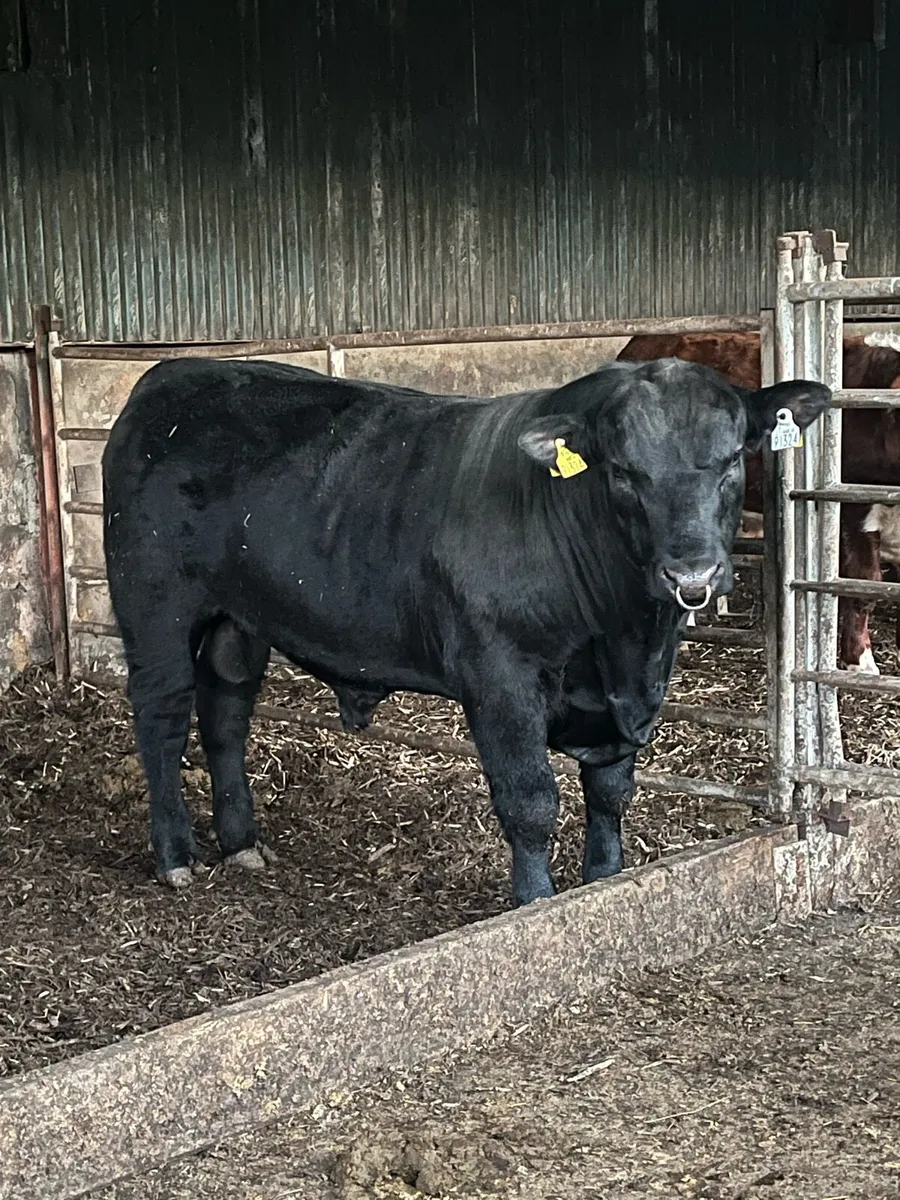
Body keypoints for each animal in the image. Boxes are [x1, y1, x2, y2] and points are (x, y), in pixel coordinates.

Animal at [102, 357, 828, 904]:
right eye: (623, 471)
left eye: (732, 460)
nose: (693, 570)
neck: (620, 638)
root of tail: (172, 374)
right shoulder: (499, 676)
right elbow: (531, 801)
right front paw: (534, 902)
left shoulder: (633, 691)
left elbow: (611, 793)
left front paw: (602, 880)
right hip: (155, 606)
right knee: (163, 716)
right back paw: (175, 855)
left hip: (240, 619)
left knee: (225, 710)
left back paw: (242, 844)